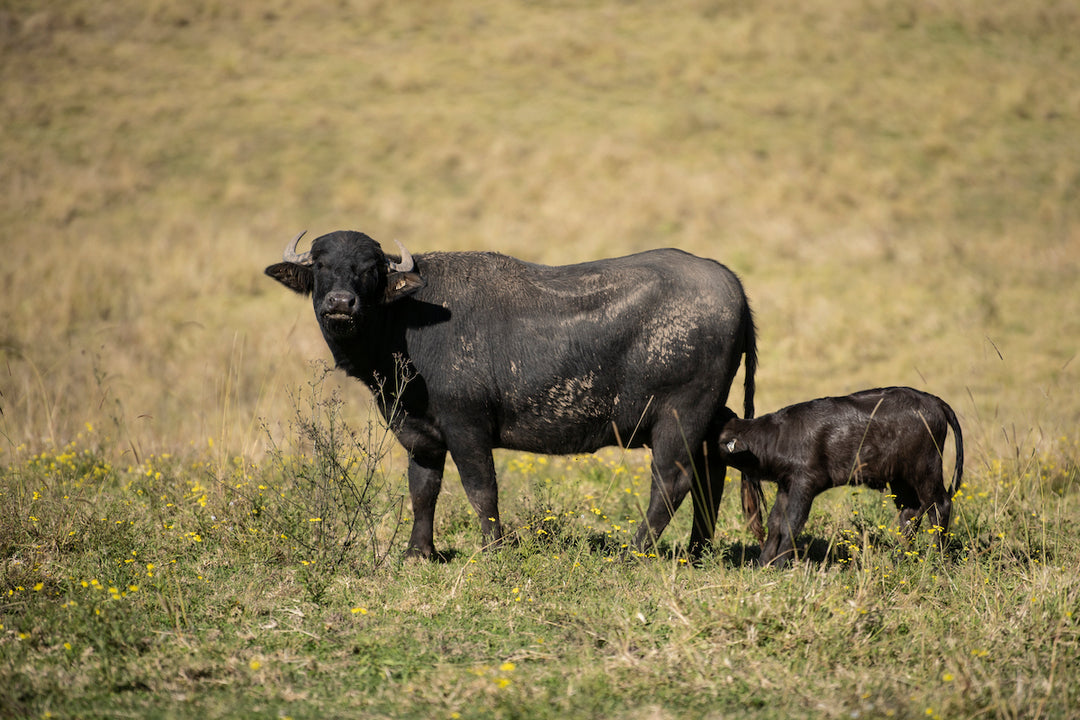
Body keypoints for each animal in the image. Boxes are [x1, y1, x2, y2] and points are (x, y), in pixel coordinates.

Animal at [265, 229, 756, 557]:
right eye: (321, 265)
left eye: (369, 270)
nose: (341, 303)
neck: (406, 321)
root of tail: (729, 281)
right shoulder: (419, 433)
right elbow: (423, 489)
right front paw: (418, 553)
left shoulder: (466, 426)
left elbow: (481, 489)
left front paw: (493, 550)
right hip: (710, 416)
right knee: (711, 473)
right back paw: (697, 549)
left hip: (679, 415)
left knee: (671, 481)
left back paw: (633, 552)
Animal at [717, 388, 963, 569]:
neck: (778, 436)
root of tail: (933, 401)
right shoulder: (785, 485)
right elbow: (775, 522)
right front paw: (762, 564)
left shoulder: (806, 482)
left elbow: (791, 523)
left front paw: (778, 565)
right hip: (901, 478)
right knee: (910, 513)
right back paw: (898, 559)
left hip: (926, 469)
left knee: (939, 506)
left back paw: (937, 560)